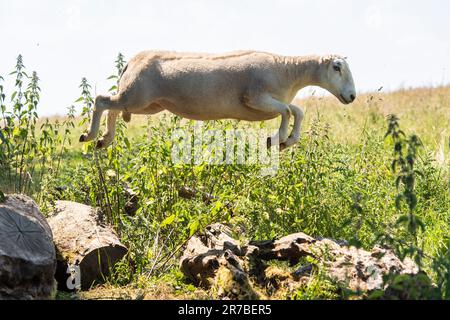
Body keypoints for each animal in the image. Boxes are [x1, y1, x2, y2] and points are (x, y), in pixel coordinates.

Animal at [79, 50, 356, 150]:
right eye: (337, 68)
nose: (352, 96)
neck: (288, 71)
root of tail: (132, 61)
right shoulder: (255, 98)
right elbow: (288, 112)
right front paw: (275, 140)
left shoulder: (269, 104)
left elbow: (297, 111)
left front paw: (286, 142)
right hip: (136, 96)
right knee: (102, 101)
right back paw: (90, 136)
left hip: (147, 104)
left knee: (112, 107)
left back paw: (104, 140)